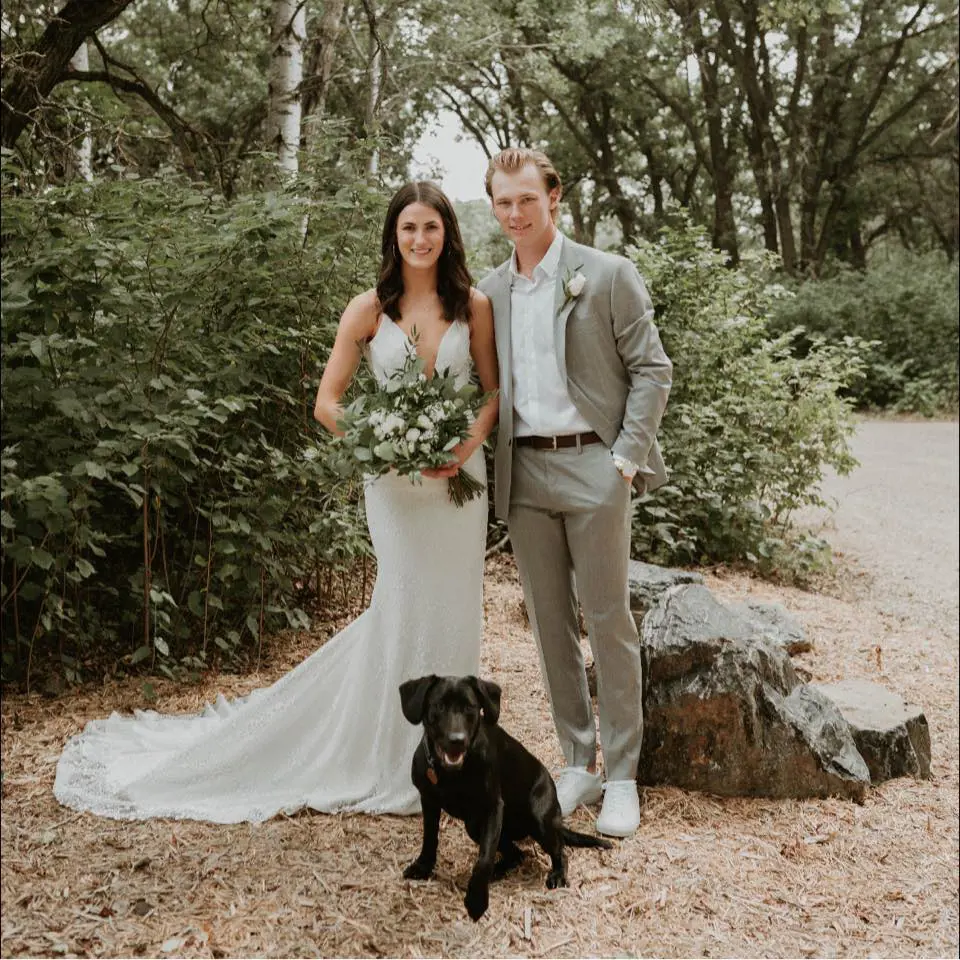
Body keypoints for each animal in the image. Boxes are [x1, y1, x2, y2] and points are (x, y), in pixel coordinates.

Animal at [400, 672, 616, 920]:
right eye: (439, 706)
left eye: (470, 707)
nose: (457, 740)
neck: (452, 773)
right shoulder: (429, 801)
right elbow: (430, 838)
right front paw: (423, 867)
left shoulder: (492, 808)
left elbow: (484, 859)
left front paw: (477, 901)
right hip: (475, 826)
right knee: (517, 854)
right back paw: (498, 870)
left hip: (538, 820)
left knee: (560, 852)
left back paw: (557, 875)